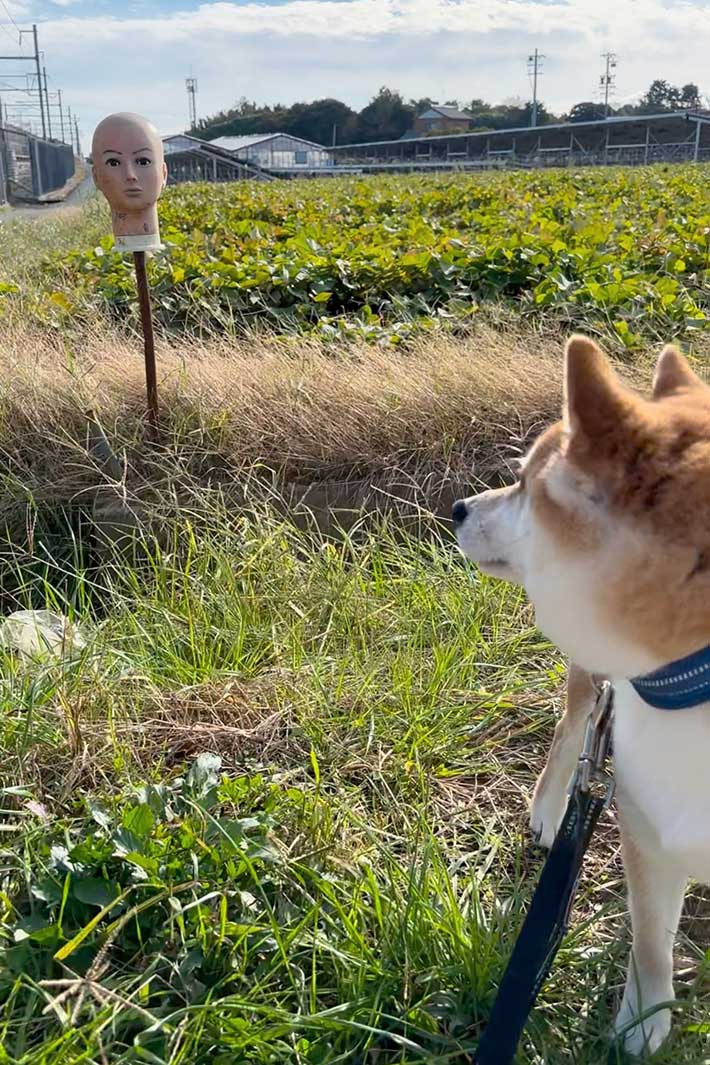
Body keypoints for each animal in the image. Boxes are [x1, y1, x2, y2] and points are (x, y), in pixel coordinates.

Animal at [453, 336, 710, 1052]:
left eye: (525, 485)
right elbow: (650, 944)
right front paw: (643, 1025)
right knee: (576, 720)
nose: (460, 507)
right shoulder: (647, 824)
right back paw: (550, 807)